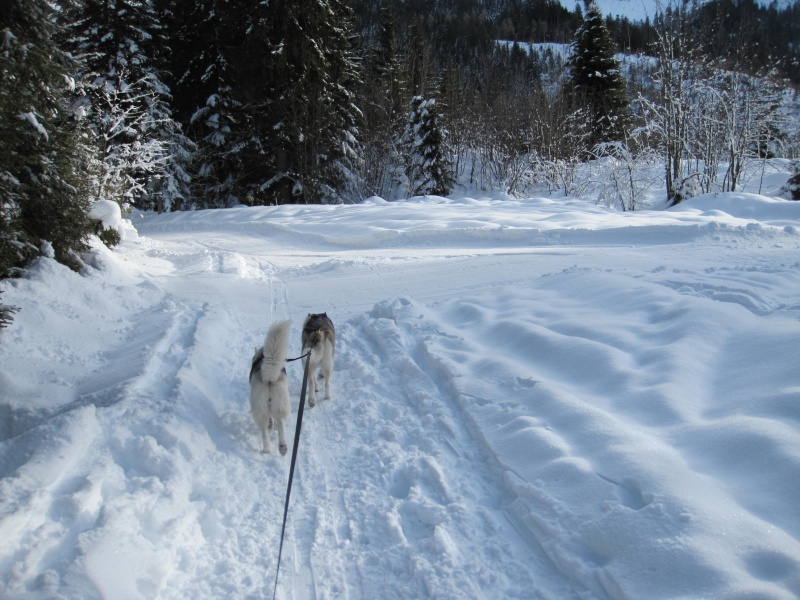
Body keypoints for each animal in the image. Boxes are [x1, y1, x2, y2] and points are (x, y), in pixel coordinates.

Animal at [248, 318, 292, 454]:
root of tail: (269, 379)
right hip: (281, 404)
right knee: (280, 423)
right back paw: (282, 447)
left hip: (260, 410)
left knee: (264, 432)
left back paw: (266, 450)